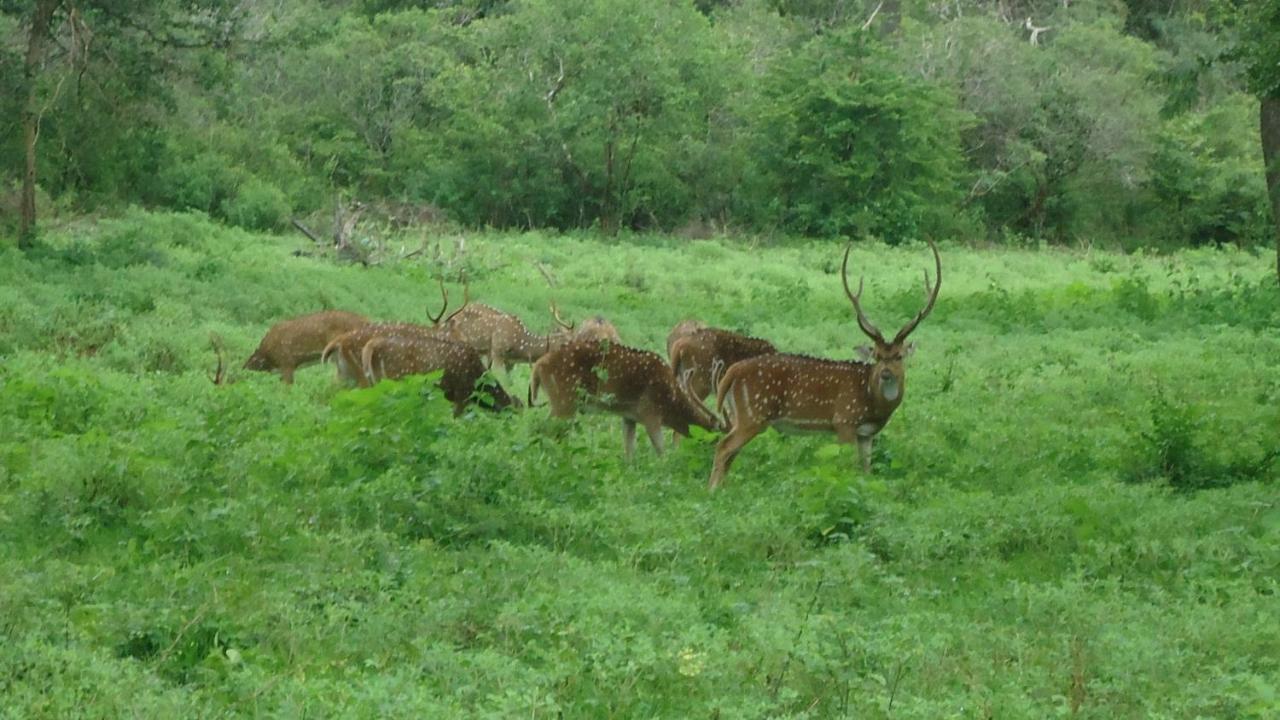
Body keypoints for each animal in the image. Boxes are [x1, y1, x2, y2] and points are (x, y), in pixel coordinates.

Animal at [529, 338, 727, 458]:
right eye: (717, 438)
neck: (670, 402)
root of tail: (538, 367)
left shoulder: (629, 416)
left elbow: (629, 452)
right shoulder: (650, 413)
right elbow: (661, 451)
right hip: (565, 399)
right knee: (545, 428)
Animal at [711, 240, 942, 486]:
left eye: (898, 355)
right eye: (877, 356)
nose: (886, 373)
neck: (873, 403)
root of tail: (732, 372)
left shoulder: (866, 433)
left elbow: (866, 470)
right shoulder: (844, 420)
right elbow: (846, 466)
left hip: (737, 414)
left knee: (730, 453)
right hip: (753, 413)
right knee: (723, 447)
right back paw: (713, 491)